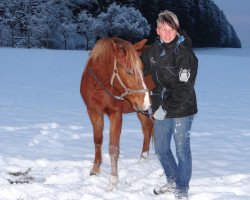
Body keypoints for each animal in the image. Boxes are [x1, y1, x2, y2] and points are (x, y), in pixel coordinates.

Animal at [81, 36, 153, 191]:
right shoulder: (93, 111)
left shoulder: (115, 114)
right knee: (148, 126)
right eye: (128, 71)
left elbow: (113, 148)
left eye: (142, 68)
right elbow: (98, 140)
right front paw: (95, 169)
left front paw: (113, 181)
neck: (99, 87)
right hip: (139, 110)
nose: (146, 101)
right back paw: (143, 157)